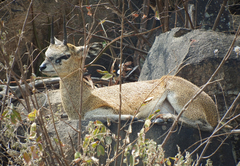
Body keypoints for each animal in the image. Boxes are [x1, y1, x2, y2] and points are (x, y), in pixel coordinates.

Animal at [39, 19, 219, 131]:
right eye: (47, 53)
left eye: (65, 55)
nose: (42, 66)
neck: (86, 97)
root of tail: (213, 109)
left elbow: (91, 116)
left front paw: (127, 117)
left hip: (180, 99)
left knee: (205, 125)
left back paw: (162, 117)